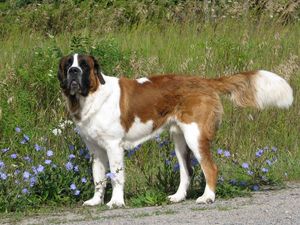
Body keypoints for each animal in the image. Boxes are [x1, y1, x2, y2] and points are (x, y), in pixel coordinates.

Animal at [56, 53, 292, 208]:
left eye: (84, 65)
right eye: (68, 64)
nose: (74, 71)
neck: (91, 95)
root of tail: (204, 81)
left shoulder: (114, 146)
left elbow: (115, 176)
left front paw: (116, 202)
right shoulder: (95, 150)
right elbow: (98, 177)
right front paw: (95, 201)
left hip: (195, 136)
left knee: (210, 168)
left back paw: (208, 197)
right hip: (180, 139)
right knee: (187, 171)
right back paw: (178, 197)